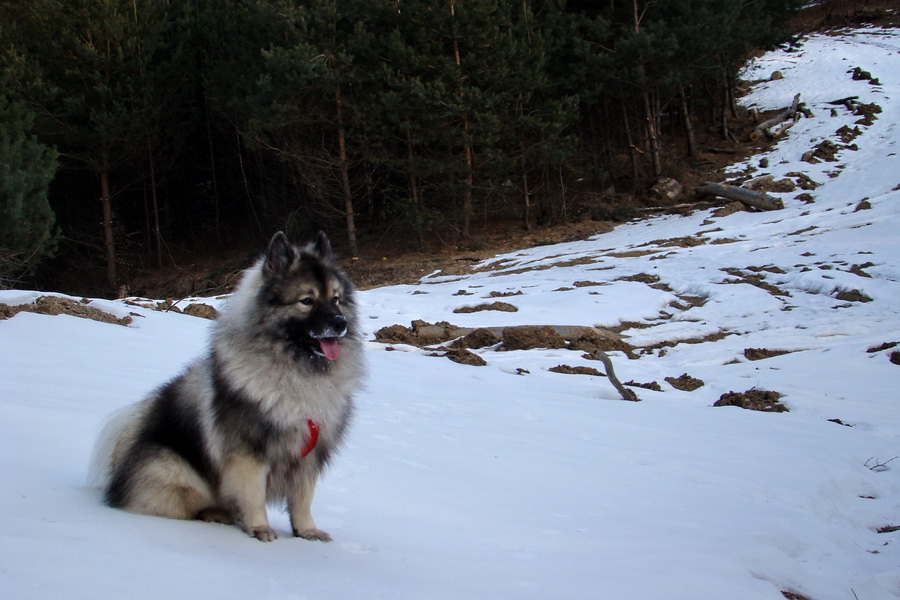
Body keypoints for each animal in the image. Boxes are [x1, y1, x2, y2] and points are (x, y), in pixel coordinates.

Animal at [89, 232, 362, 540]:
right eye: (307, 300)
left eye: (336, 299)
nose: (340, 323)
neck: (296, 370)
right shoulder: (248, 452)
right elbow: (253, 494)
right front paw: (260, 528)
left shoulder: (307, 457)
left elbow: (302, 499)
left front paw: (307, 531)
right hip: (173, 468)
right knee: (190, 506)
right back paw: (219, 515)